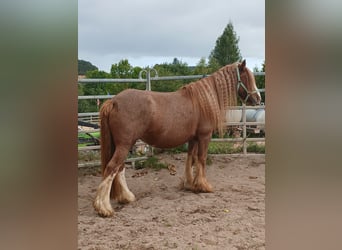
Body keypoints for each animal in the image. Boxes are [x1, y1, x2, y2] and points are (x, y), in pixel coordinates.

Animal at [92, 60, 260, 217]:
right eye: (247, 77)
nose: (258, 98)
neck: (203, 101)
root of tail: (113, 101)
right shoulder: (204, 136)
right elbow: (201, 159)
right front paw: (204, 186)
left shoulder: (193, 138)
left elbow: (190, 159)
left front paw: (190, 184)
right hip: (124, 145)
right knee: (112, 168)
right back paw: (104, 208)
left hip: (123, 145)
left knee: (119, 169)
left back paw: (126, 197)